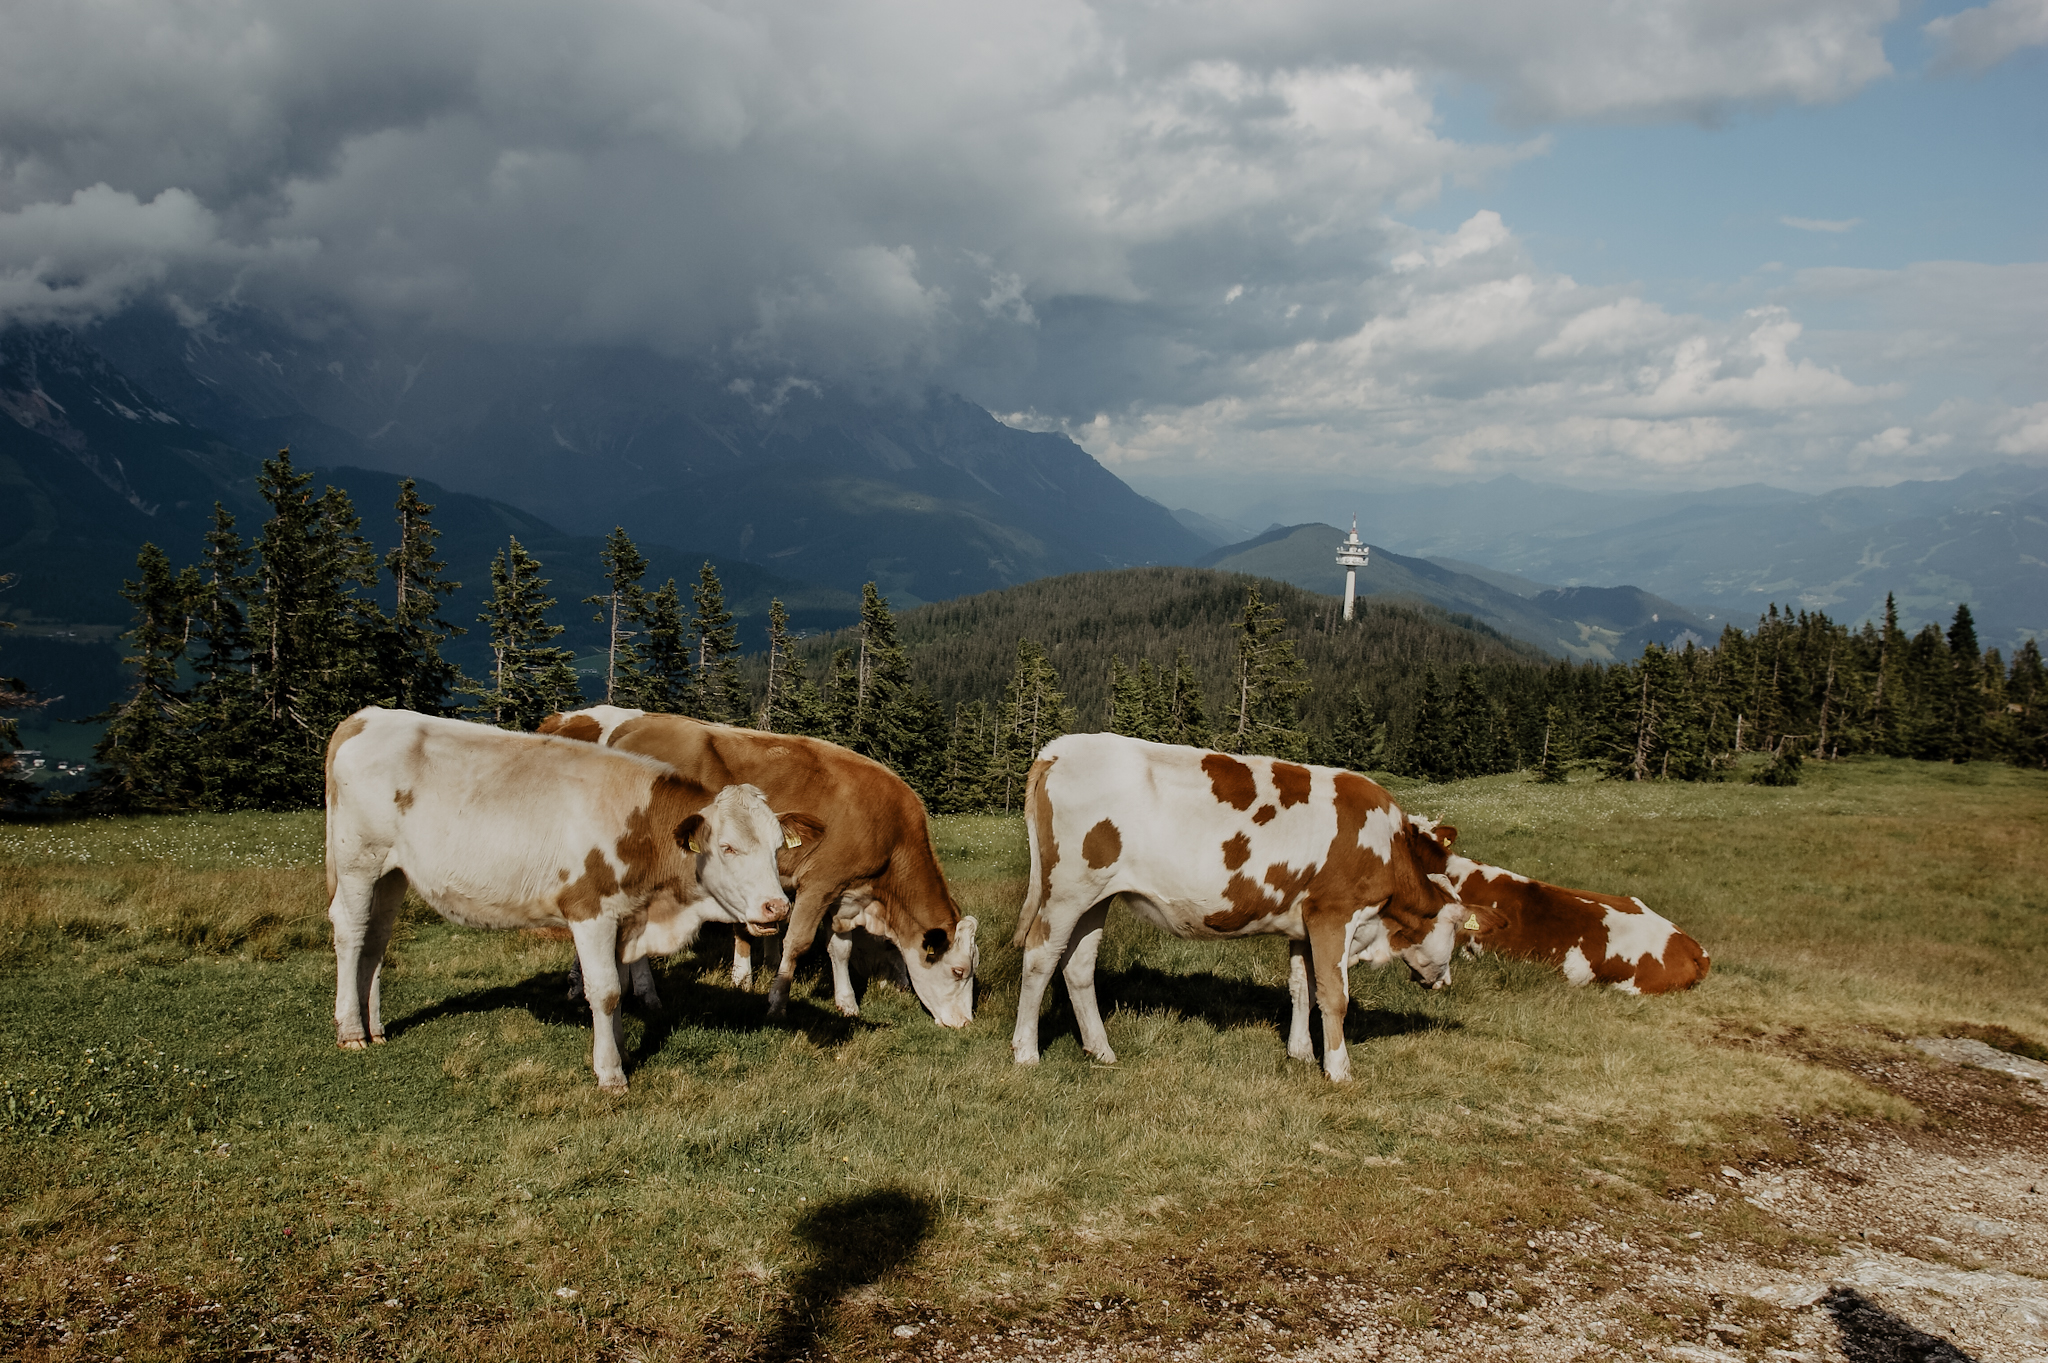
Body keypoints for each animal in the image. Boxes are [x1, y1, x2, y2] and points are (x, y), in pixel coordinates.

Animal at [323, 704, 811, 1088]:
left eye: (776, 847)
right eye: (727, 847)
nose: (777, 906)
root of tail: (368, 717)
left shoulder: (624, 916)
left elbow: (618, 986)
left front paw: (622, 1051)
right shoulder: (590, 910)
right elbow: (606, 990)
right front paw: (611, 1073)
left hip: (392, 872)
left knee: (376, 940)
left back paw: (375, 1027)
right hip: (358, 861)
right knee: (350, 932)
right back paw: (350, 1032)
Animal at [1011, 728, 1507, 1080]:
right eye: (1458, 931)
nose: (1443, 982)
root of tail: (1059, 749)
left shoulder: (1305, 923)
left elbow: (1303, 988)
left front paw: (1302, 1054)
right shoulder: (1334, 913)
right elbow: (1335, 994)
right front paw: (1339, 1069)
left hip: (1098, 895)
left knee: (1078, 965)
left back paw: (1101, 1050)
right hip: (1067, 889)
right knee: (1040, 956)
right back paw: (1026, 1052)